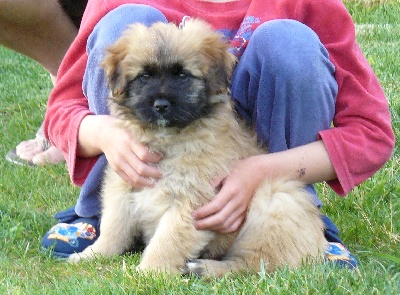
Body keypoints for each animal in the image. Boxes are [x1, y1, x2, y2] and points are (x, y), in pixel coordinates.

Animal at [68, 18, 328, 278]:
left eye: (182, 75)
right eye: (145, 76)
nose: (161, 105)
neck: (168, 140)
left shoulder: (192, 200)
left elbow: (168, 241)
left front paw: (149, 273)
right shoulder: (123, 185)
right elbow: (113, 228)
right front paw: (92, 254)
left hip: (277, 199)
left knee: (251, 265)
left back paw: (204, 268)